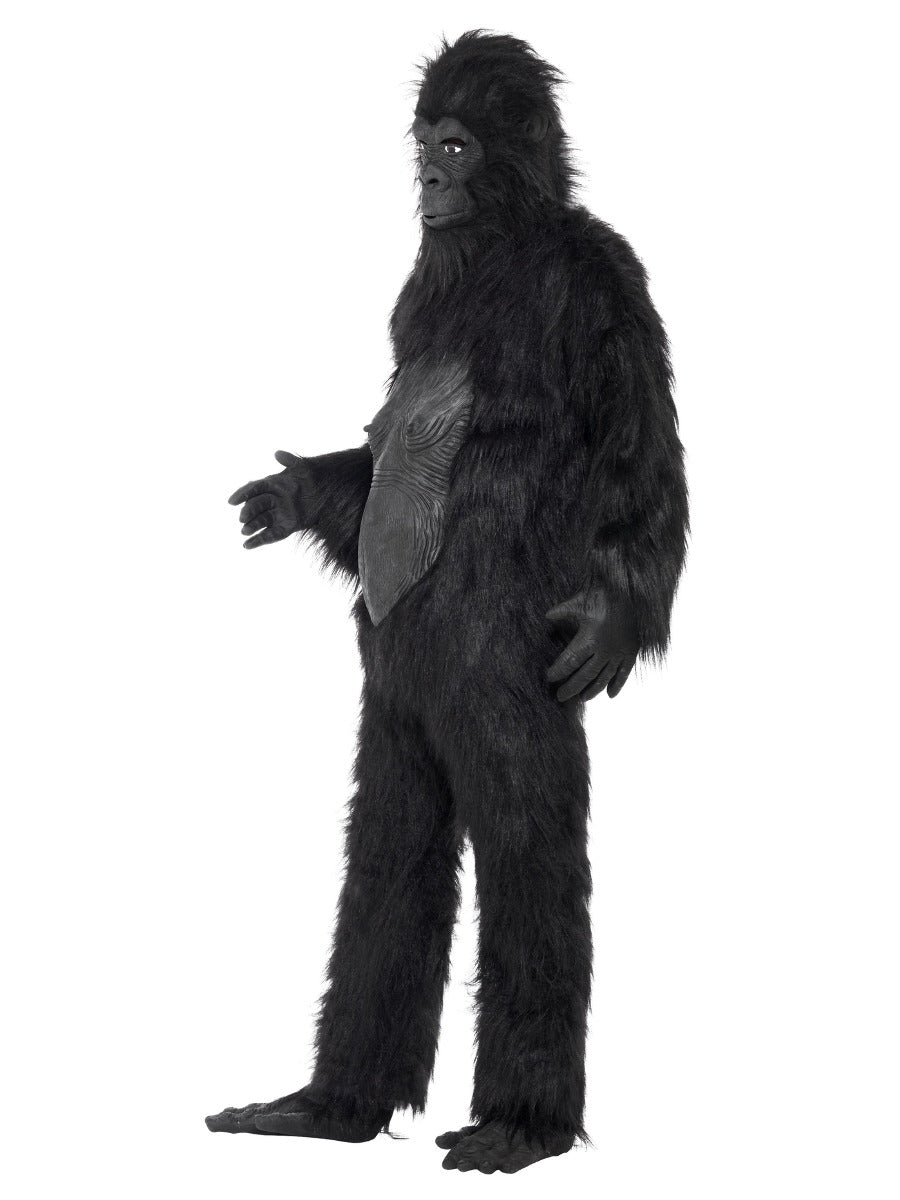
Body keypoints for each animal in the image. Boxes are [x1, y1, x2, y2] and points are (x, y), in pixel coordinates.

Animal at [206, 31, 688, 1175]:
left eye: (460, 146)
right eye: (427, 141)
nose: (428, 179)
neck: (504, 247)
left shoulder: (608, 287)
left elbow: (643, 467)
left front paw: (608, 626)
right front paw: (292, 495)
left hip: (496, 694)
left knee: (528, 850)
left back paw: (521, 1126)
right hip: (399, 713)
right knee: (390, 845)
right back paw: (330, 1107)